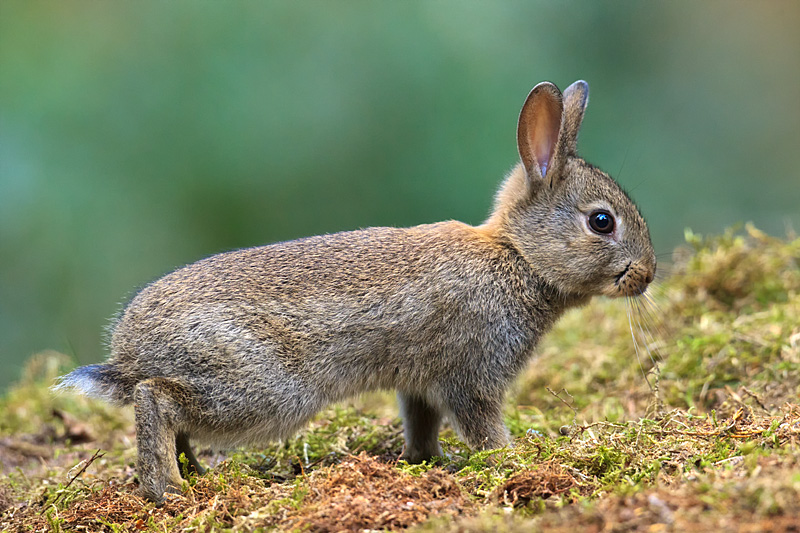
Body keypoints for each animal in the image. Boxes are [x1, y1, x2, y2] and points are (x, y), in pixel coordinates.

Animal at [54, 78, 656, 498]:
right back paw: (169, 489)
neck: (518, 258)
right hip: (260, 388)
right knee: (154, 398)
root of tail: (128, 351)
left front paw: (431, 462)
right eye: (602, 222)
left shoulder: (421, 384)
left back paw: (195, 474)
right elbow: (481, 424)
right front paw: (513, 460)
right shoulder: (473, 373)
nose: (646, 274)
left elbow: (422, 425)